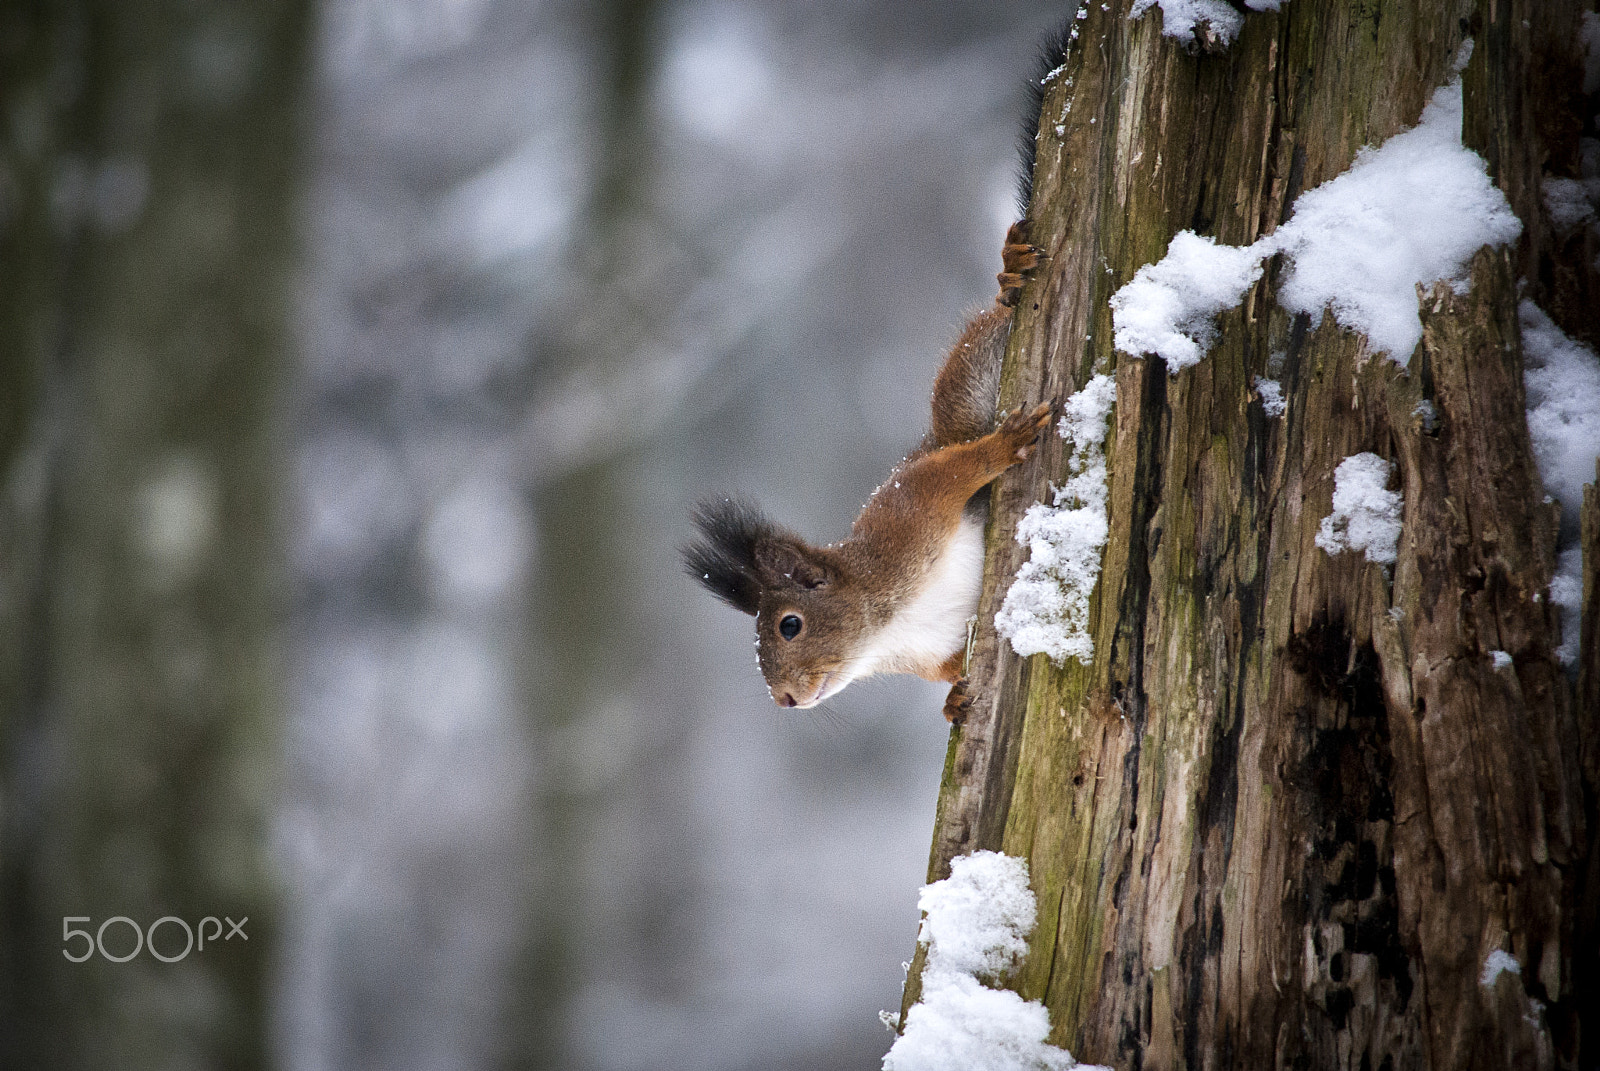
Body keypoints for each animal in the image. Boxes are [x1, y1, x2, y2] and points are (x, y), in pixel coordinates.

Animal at [684, 225, 1051, 724]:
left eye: (790, 626)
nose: (783, 699)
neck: (886, 633)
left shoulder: (908, 513)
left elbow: (956, 471)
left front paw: (1004, 446)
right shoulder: (930, 653)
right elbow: (952, 668)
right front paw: (952, 703)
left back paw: (1011, 272)